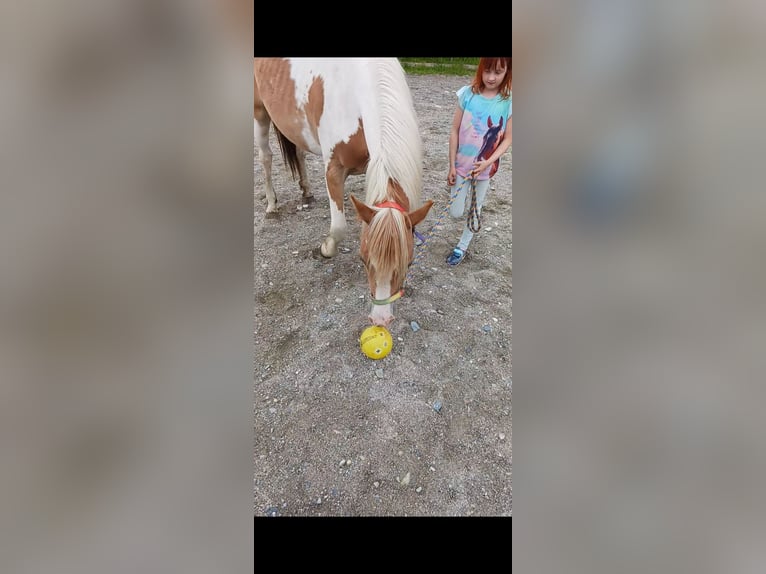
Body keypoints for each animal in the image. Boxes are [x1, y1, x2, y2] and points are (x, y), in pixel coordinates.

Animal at [252, 59, 432, 328]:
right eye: (363, 260)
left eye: (408, 262)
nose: (381, 319)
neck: (354, 93)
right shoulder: (334, 170)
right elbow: (338, 228)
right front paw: (325, 248)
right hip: (260, 112)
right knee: (265, 157)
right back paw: (272, 205)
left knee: (299, 152)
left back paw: (306, 192)